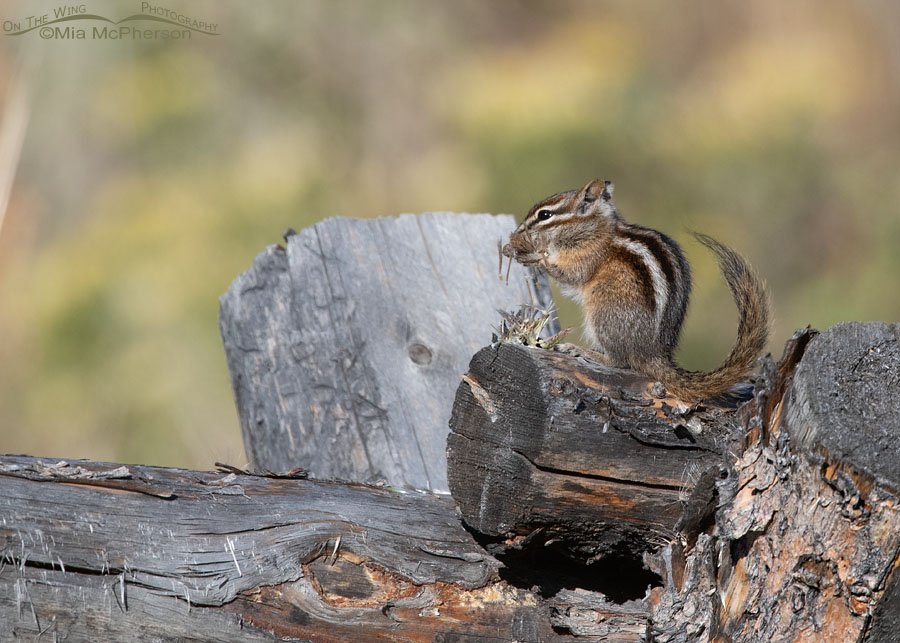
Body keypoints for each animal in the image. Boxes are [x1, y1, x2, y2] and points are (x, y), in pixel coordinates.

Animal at [501, 178, 770, 400]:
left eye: (545, 215)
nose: (517, 233)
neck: (594, 229)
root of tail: (653, 353)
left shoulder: (587, 257)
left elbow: (570, 276)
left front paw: (535, 256)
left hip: (603, 310)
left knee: (619, 361)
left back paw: (580, 350)